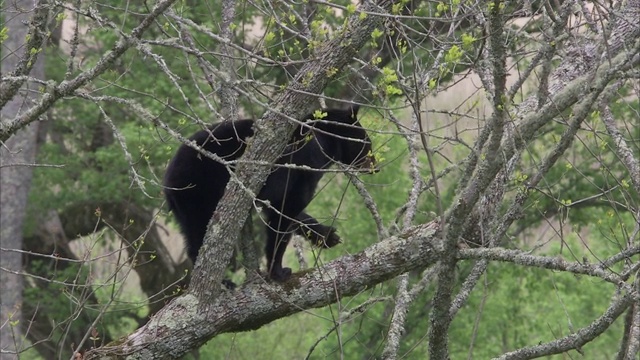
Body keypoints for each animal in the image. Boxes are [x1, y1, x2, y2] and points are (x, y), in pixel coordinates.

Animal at [164, 107, 376, 282]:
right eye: (368, 144)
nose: (376, 167)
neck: (324, 141)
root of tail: (167, 180)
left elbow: (287, 211)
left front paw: (326, 235)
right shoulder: (303, 166)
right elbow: (285, 212)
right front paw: (278, 271)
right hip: (198, 191)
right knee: (200, 232)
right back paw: (221, 281)